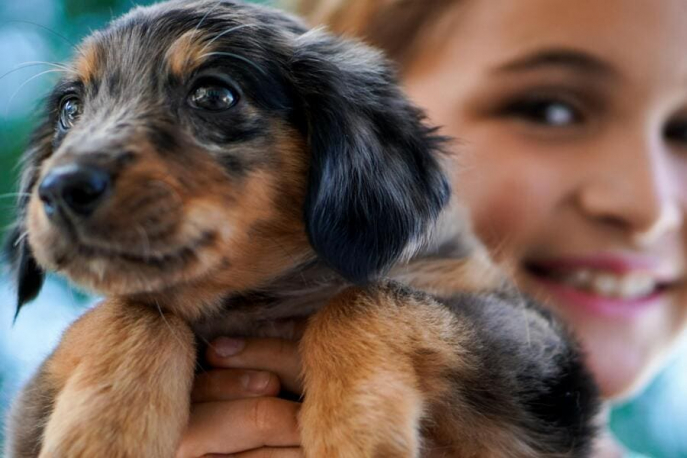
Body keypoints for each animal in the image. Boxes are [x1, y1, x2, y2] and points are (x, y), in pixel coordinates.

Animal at [4, 1, 596, 456]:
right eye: (71, 108)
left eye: (214, 95)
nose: (60, 188)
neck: (260, 297)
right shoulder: (27, 416)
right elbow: (130, 310)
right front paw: (102, 432)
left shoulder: (540, 367)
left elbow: (369, 298)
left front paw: (356, 430)